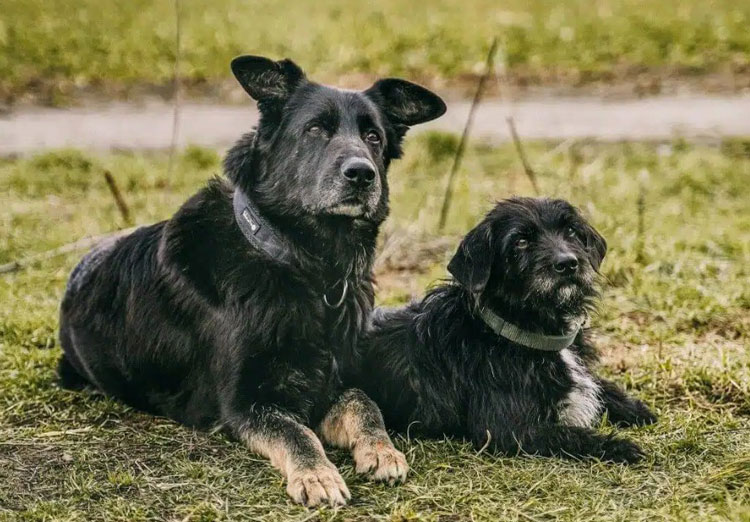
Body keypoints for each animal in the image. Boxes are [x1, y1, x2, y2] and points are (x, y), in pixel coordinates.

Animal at [60, 55, 446, 504]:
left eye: (373, 137)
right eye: (315, 129)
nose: (362, 174)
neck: (306, 269)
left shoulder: (332, 381)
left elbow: (364, 403)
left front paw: (381, 450)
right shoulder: (244, 403)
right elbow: (295, 432)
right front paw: (317, 474)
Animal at [352, 197, 656, 462]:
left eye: (570, 230)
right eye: (520, 241)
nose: (568, 263)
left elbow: (602, 385)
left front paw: (636, 408)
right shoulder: (511, 430)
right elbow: (573, 435)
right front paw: (620, 446)